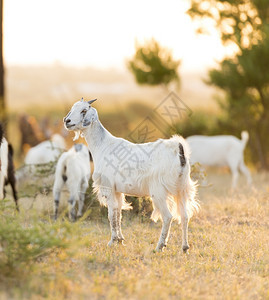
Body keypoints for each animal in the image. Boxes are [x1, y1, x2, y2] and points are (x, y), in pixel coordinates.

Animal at [62, 99, 197, 253]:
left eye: (84, 110)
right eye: (73, 108)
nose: (67, 121)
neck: (103, 145)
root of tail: (178, 150)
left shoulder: (108, 187)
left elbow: (111, 214)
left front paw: (112, 241)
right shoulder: (118, 190)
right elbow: (118, 213)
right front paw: (120, 240)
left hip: (159, 192)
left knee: (168, 217)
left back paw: (159, 246)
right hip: (182, 190)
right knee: (185, 216)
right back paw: (185, 248)